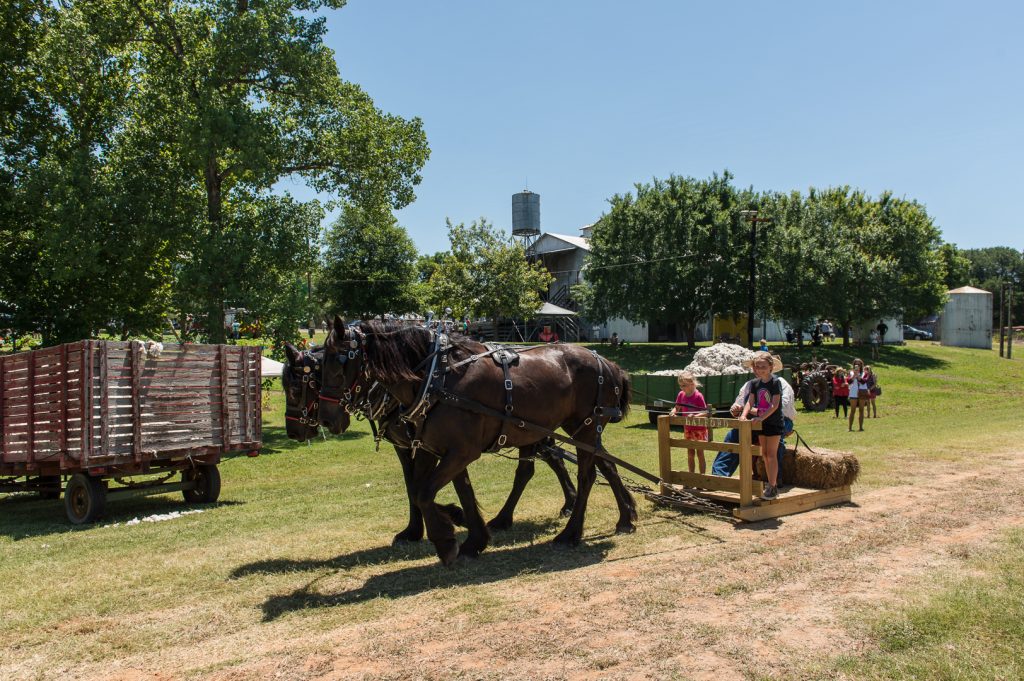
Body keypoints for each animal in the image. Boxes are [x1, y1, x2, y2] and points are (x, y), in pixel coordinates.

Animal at [280, 346, 581, 540]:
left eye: (295, 388)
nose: (292, 432)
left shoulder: (433, 446)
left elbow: (421, 487)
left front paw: (454, 517)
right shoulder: (410, 446)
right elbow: (413, 486)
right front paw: (418, 529)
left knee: (533, 468)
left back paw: (518, 514)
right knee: (545, 463)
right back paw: (566, 502)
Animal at [315, 315, 634, 565]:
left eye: (338, 362)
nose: (326, 419)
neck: (437, 378)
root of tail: (610, 364)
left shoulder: (460, 451)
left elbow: (423, 493)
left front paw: (446, 540)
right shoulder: (438, 448)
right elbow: (438, 491)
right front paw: (469, 532)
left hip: (584, 427)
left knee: (586, 476)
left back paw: (570, 533)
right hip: (575, 430)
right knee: (604, 465)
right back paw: (626, 516)